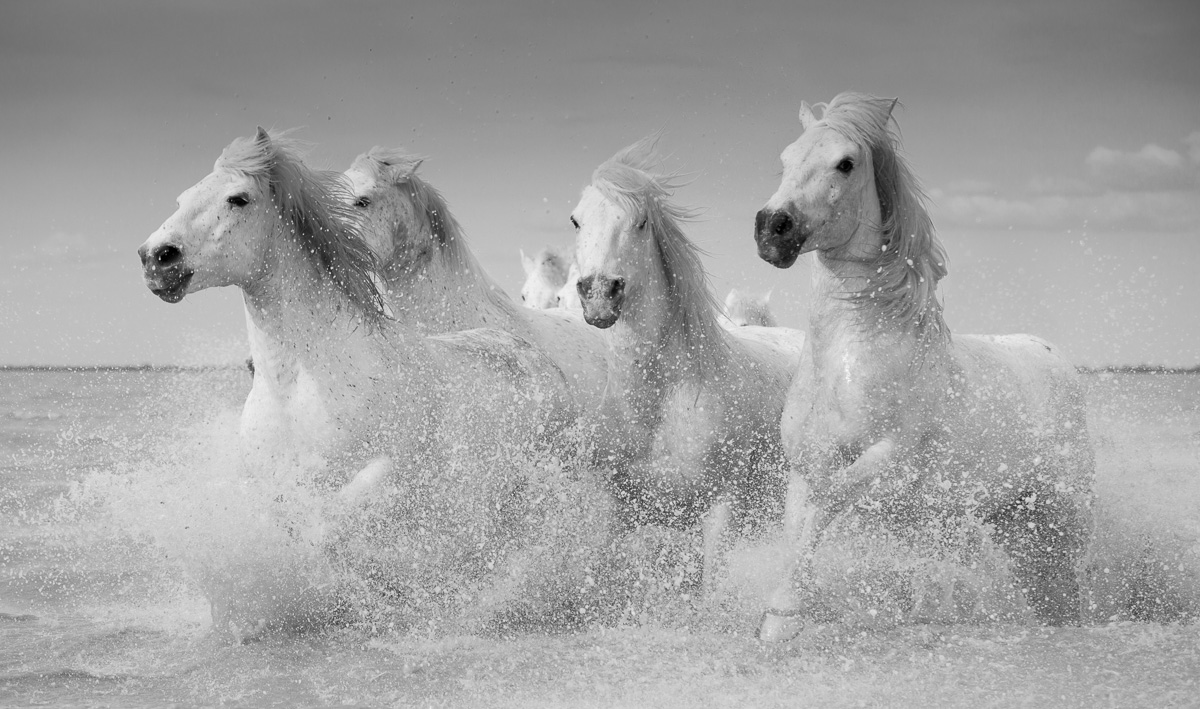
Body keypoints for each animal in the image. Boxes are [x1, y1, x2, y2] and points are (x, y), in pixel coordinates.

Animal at [571, 138, 807, 592]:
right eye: (576, 220)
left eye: (642, 221)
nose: (599, 294)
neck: (661, 399)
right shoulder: (617, 510)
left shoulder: (721, 510)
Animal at [753, 92, 1094, 641]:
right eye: (786, 158)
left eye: (845, 163)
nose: (771, 229)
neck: (849, 360)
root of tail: (1052, 355)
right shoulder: (806, 466)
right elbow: (798, 530)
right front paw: (776, 627)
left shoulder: (885, 461)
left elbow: (826, 507)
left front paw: (787, 609)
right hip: (1011, 520)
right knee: (1047, 589)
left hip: (1065, 517)